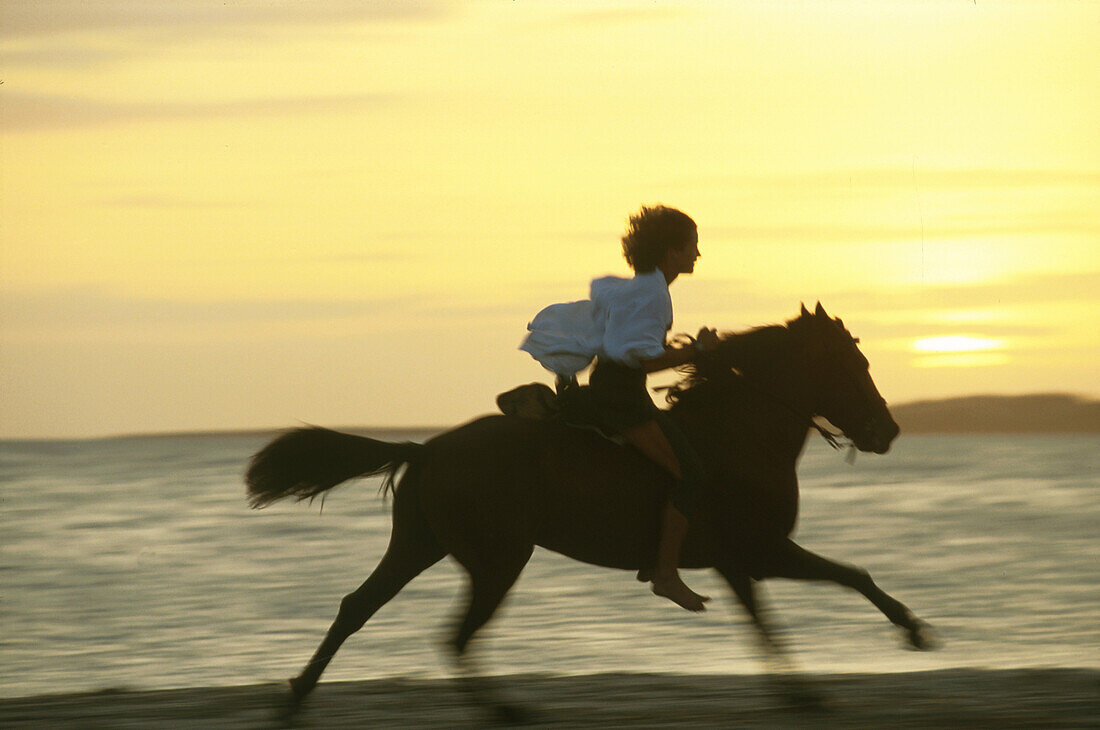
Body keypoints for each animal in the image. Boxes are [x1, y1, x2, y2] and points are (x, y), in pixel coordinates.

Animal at [245, 301, 932, 716]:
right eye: (854, 362)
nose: (887, 431)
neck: (740, 434)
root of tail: (429, 447)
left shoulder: (739, 564)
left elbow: (770, 624)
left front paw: (807, 691)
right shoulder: (761, 552)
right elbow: (850, 577)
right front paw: (912, 630)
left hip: (421, 545)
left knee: (357, 608)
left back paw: (295, 698)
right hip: (497, 561)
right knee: (456, 636)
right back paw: (503, 711)